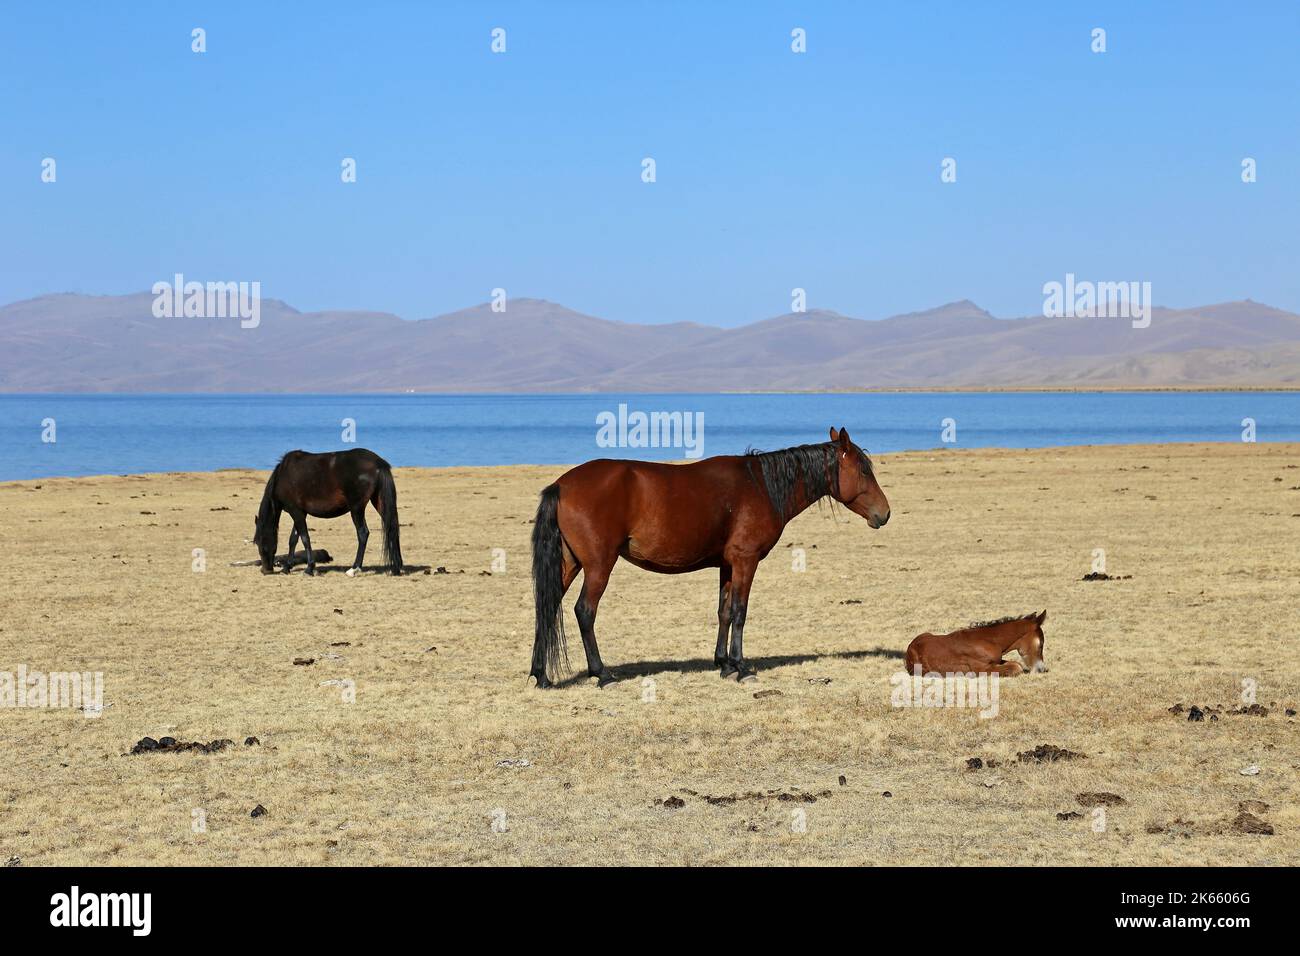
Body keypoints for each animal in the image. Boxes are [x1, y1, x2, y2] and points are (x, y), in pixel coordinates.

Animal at [249, 447, 400, 574]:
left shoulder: (296, 512)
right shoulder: (300, 512)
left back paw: (354, 568)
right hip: (379, 502)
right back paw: (396, 567)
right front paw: (287, 567)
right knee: (391, 527)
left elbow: (304, 538)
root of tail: (379, 462)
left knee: (363, 533)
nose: (265, 570)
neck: (284, 476)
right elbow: (293, 539)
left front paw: (309, 568)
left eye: (260, 541)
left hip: (356, 509)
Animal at [533, 429, 889, 686]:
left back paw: (541, 675)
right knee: (584, 611)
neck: (760, 486)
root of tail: (561, 485)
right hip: (598, 566)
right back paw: (602, 674)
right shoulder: (746, 561)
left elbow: (724, 612)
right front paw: (741, 667)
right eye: (862, 470)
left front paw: (724, 664)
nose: (884, 513)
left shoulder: (727, 565)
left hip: (569, 563)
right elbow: (740, 612)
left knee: (547, 607)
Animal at [909, 613, 1050, 681]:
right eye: (1041, 644)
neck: (988, 640)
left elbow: (1014, 663)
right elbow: (1016, 667)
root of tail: (910, 646)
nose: (1041, 669)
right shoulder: (982, 668)